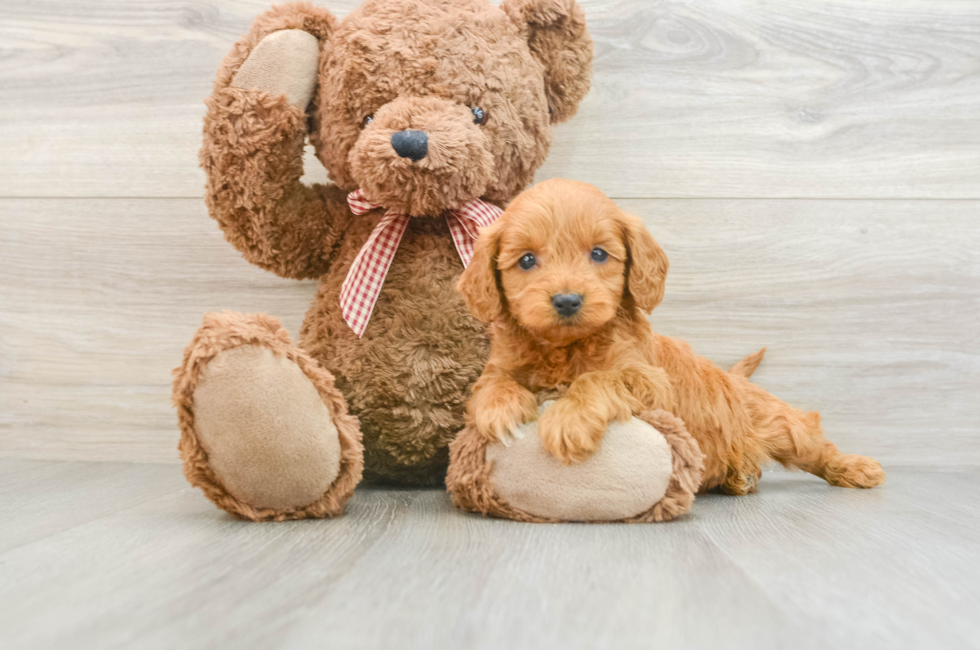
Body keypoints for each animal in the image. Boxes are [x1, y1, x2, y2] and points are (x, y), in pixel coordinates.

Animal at [460, 177, 888, 492]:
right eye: (526, 260)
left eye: (598, 254)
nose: (567, 300)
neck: (564, 348)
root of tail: (734, 379)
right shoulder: (499, 366)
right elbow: (491, 384)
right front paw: (499, 409)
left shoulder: (649, 381)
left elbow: (598, 379)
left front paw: (568, 419)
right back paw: (741, 477)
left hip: (778, 423)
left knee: (812, 443)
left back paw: (855, 468)